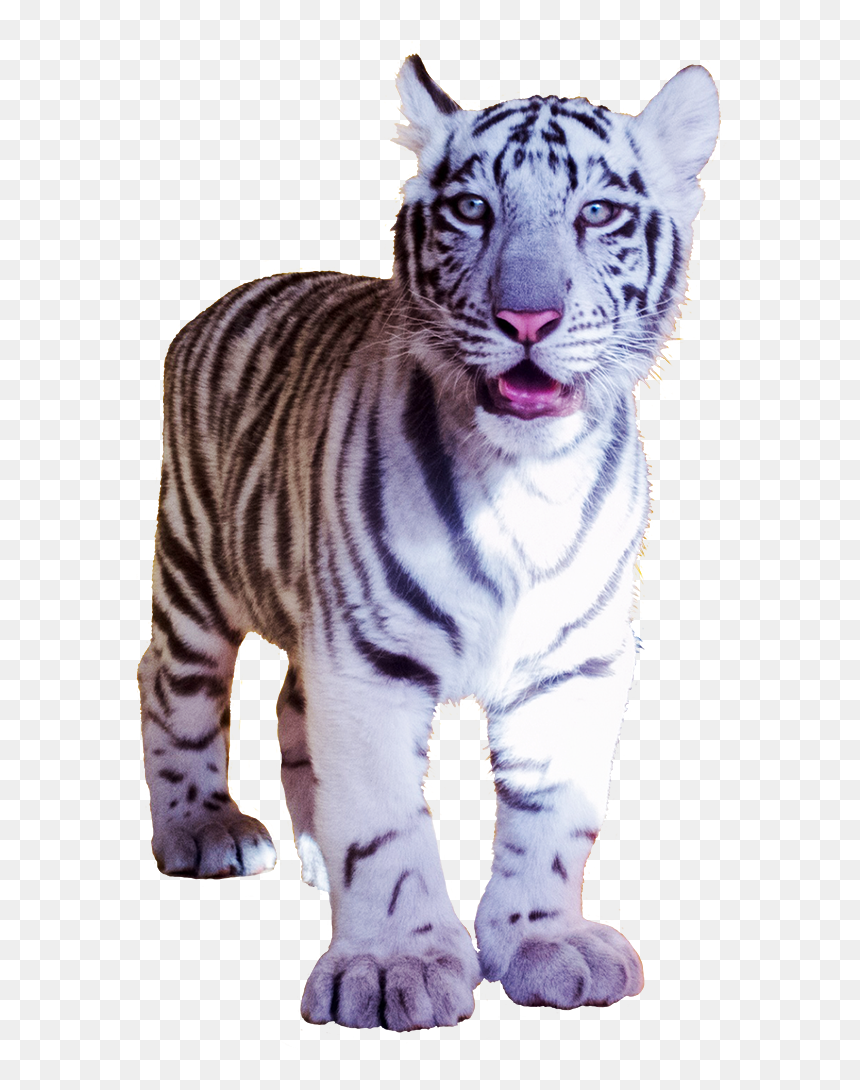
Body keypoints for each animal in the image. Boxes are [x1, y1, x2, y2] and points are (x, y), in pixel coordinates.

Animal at [138, 55, 718, 1030]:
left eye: (598, 212)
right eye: (473, 209)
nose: (528, 319)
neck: (529, 477)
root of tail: (225, 297)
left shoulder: (574, 663)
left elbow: (553, 822)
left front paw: (547, 942)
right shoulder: (367, 660)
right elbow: (384, 826)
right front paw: (392, 966)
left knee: (289, 707)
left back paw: (310, 851)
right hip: (196, 567)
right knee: (170, 684)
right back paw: (205, 830)